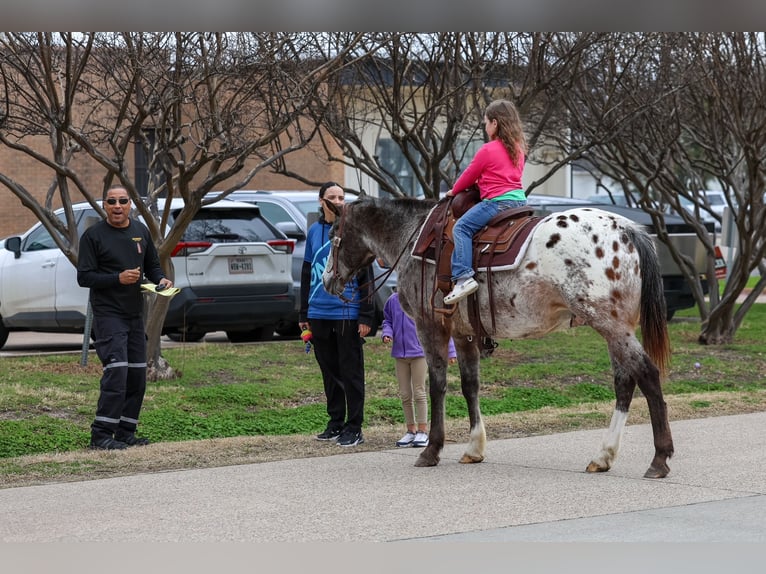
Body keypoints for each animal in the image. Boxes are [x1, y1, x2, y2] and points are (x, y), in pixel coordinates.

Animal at [322, 196, 673, 479]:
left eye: (331, 232)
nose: (326, 280)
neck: (414, 240)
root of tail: (627, 228)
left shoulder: (430, 327)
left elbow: (437, 386)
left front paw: (432, 449)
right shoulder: (464, 334)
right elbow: (470, 386)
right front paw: (474, 448)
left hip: (610, 325)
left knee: (647, 374)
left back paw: (659, 458)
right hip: (617, 328)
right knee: (625, 383)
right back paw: (603, 457)